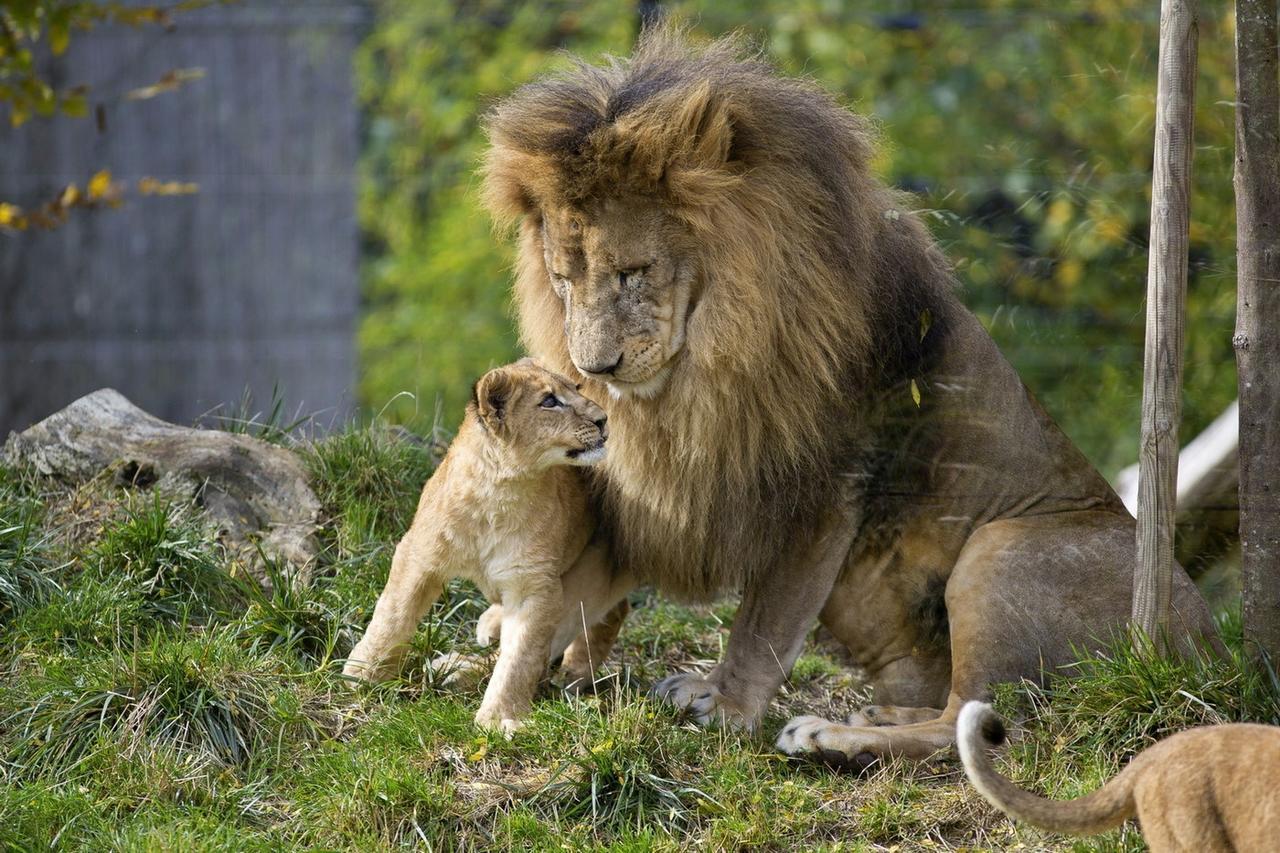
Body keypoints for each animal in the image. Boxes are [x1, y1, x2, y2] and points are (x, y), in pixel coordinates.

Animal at [476, 26, 1213, 758]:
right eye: (562, 278)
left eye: (633, 272)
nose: (594, 367)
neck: (703, 366)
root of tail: (1204, 650)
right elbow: (578, 584)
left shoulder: (822, 486)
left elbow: (766, 617)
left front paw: (726, 703)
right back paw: (872, 716)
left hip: (1000, 550)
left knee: (976, 724)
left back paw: (826, 735)